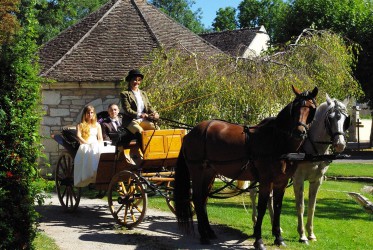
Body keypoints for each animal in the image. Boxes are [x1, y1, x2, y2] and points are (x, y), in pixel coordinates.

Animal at [174, 85, 316, 249]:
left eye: (311, 109)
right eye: (296, 107)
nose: (300, 132)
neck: (277, 140)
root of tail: (190, 133)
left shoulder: (281, 181)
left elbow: (278, 207)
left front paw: (279, 238)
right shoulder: (265, 180)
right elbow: (262, 208)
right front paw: (258, 240)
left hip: (209, 173)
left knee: (203, 200)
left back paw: (209, 232)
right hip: (197, 171)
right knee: (197, 199)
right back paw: (203, 236)